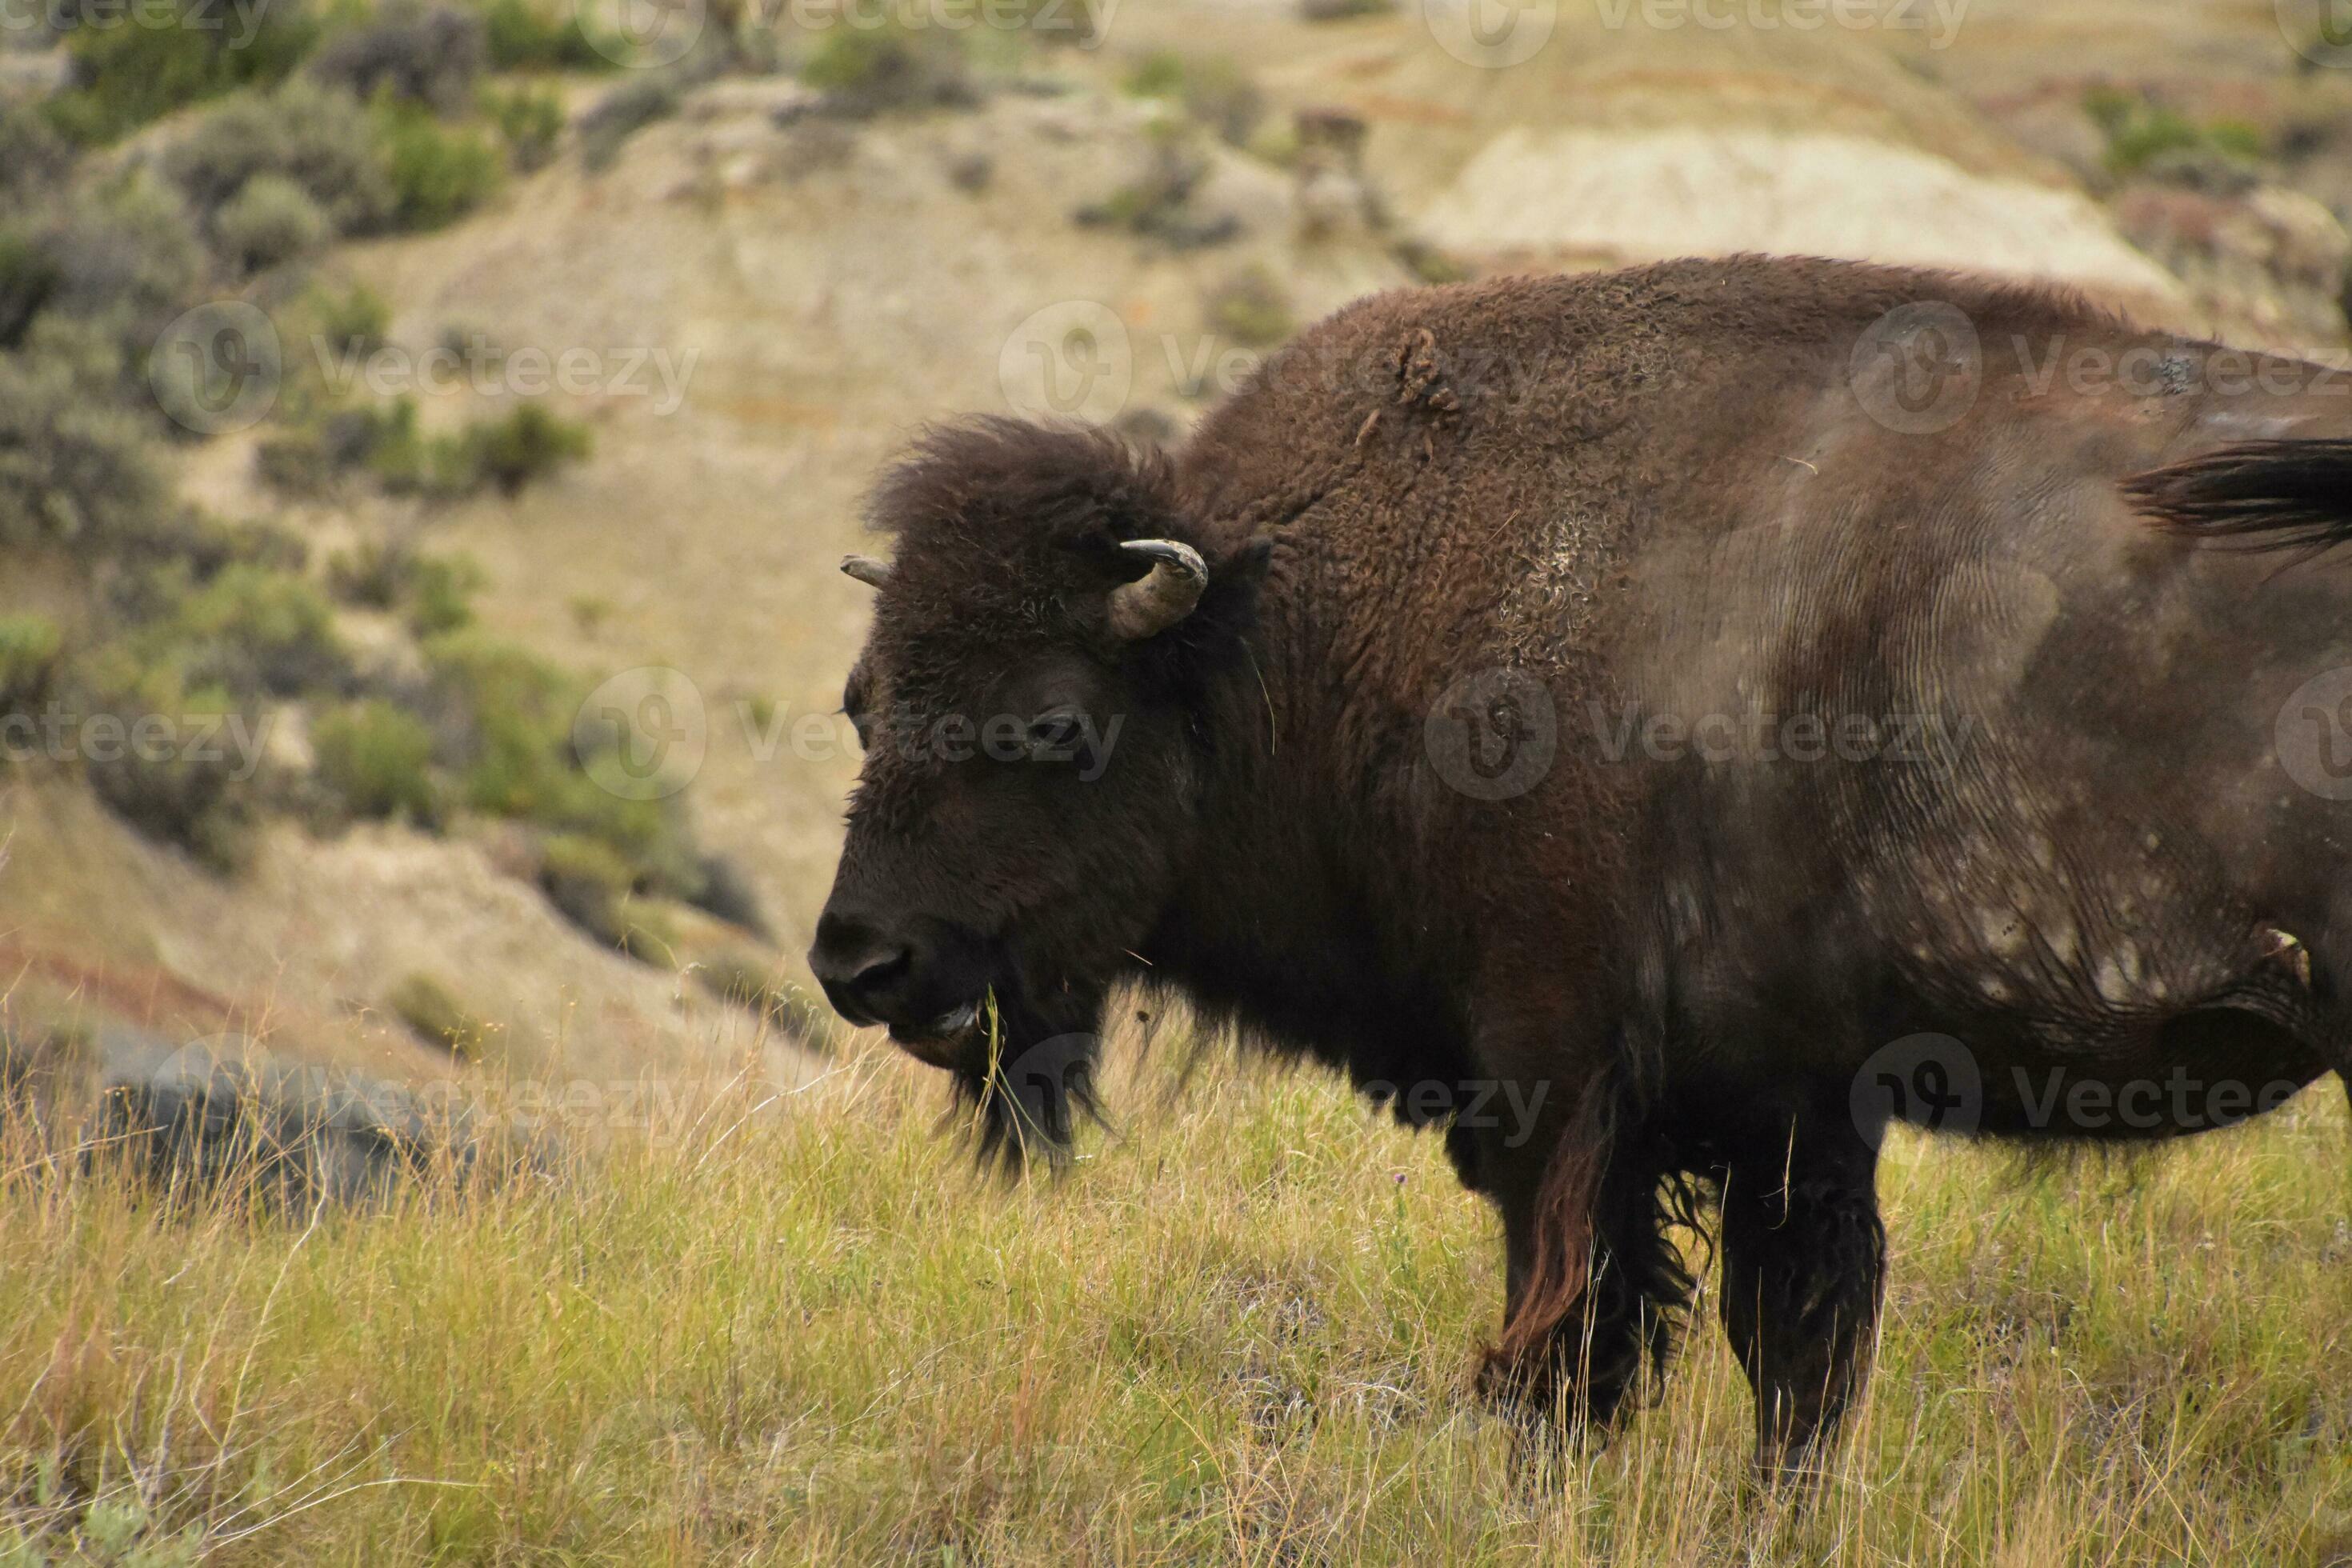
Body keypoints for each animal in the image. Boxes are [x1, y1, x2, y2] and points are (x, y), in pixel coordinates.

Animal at [809, 254, 2352, 1475]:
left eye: (1054, 723)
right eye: (863, 705)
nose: (862, 962)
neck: (1278, 630)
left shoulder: (1556, 1078)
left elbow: (1573, 1345)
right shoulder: (1789, 1099)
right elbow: (1795, 1352)